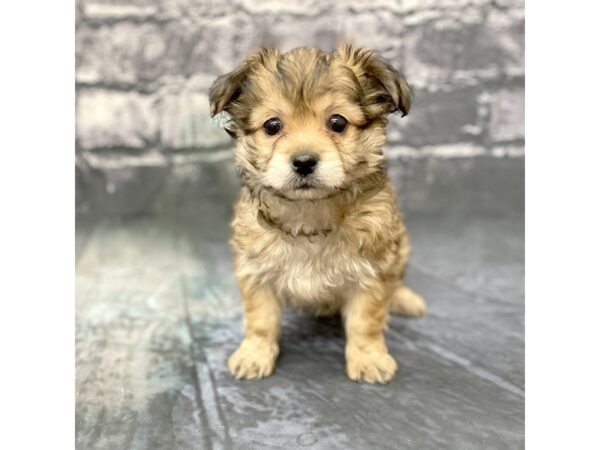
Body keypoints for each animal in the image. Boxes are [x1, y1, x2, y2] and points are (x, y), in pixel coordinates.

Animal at [209, 42, 424, 384]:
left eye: (337, 123)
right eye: (272, 126)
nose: (304, 161)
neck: (309, 211)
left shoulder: (373, 270)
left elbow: (366, 322)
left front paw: (369, 357)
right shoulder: (256, 271)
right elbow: (261, 320)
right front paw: (254, 353)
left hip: (400, 246)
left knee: (397, 281)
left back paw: (404, 299)